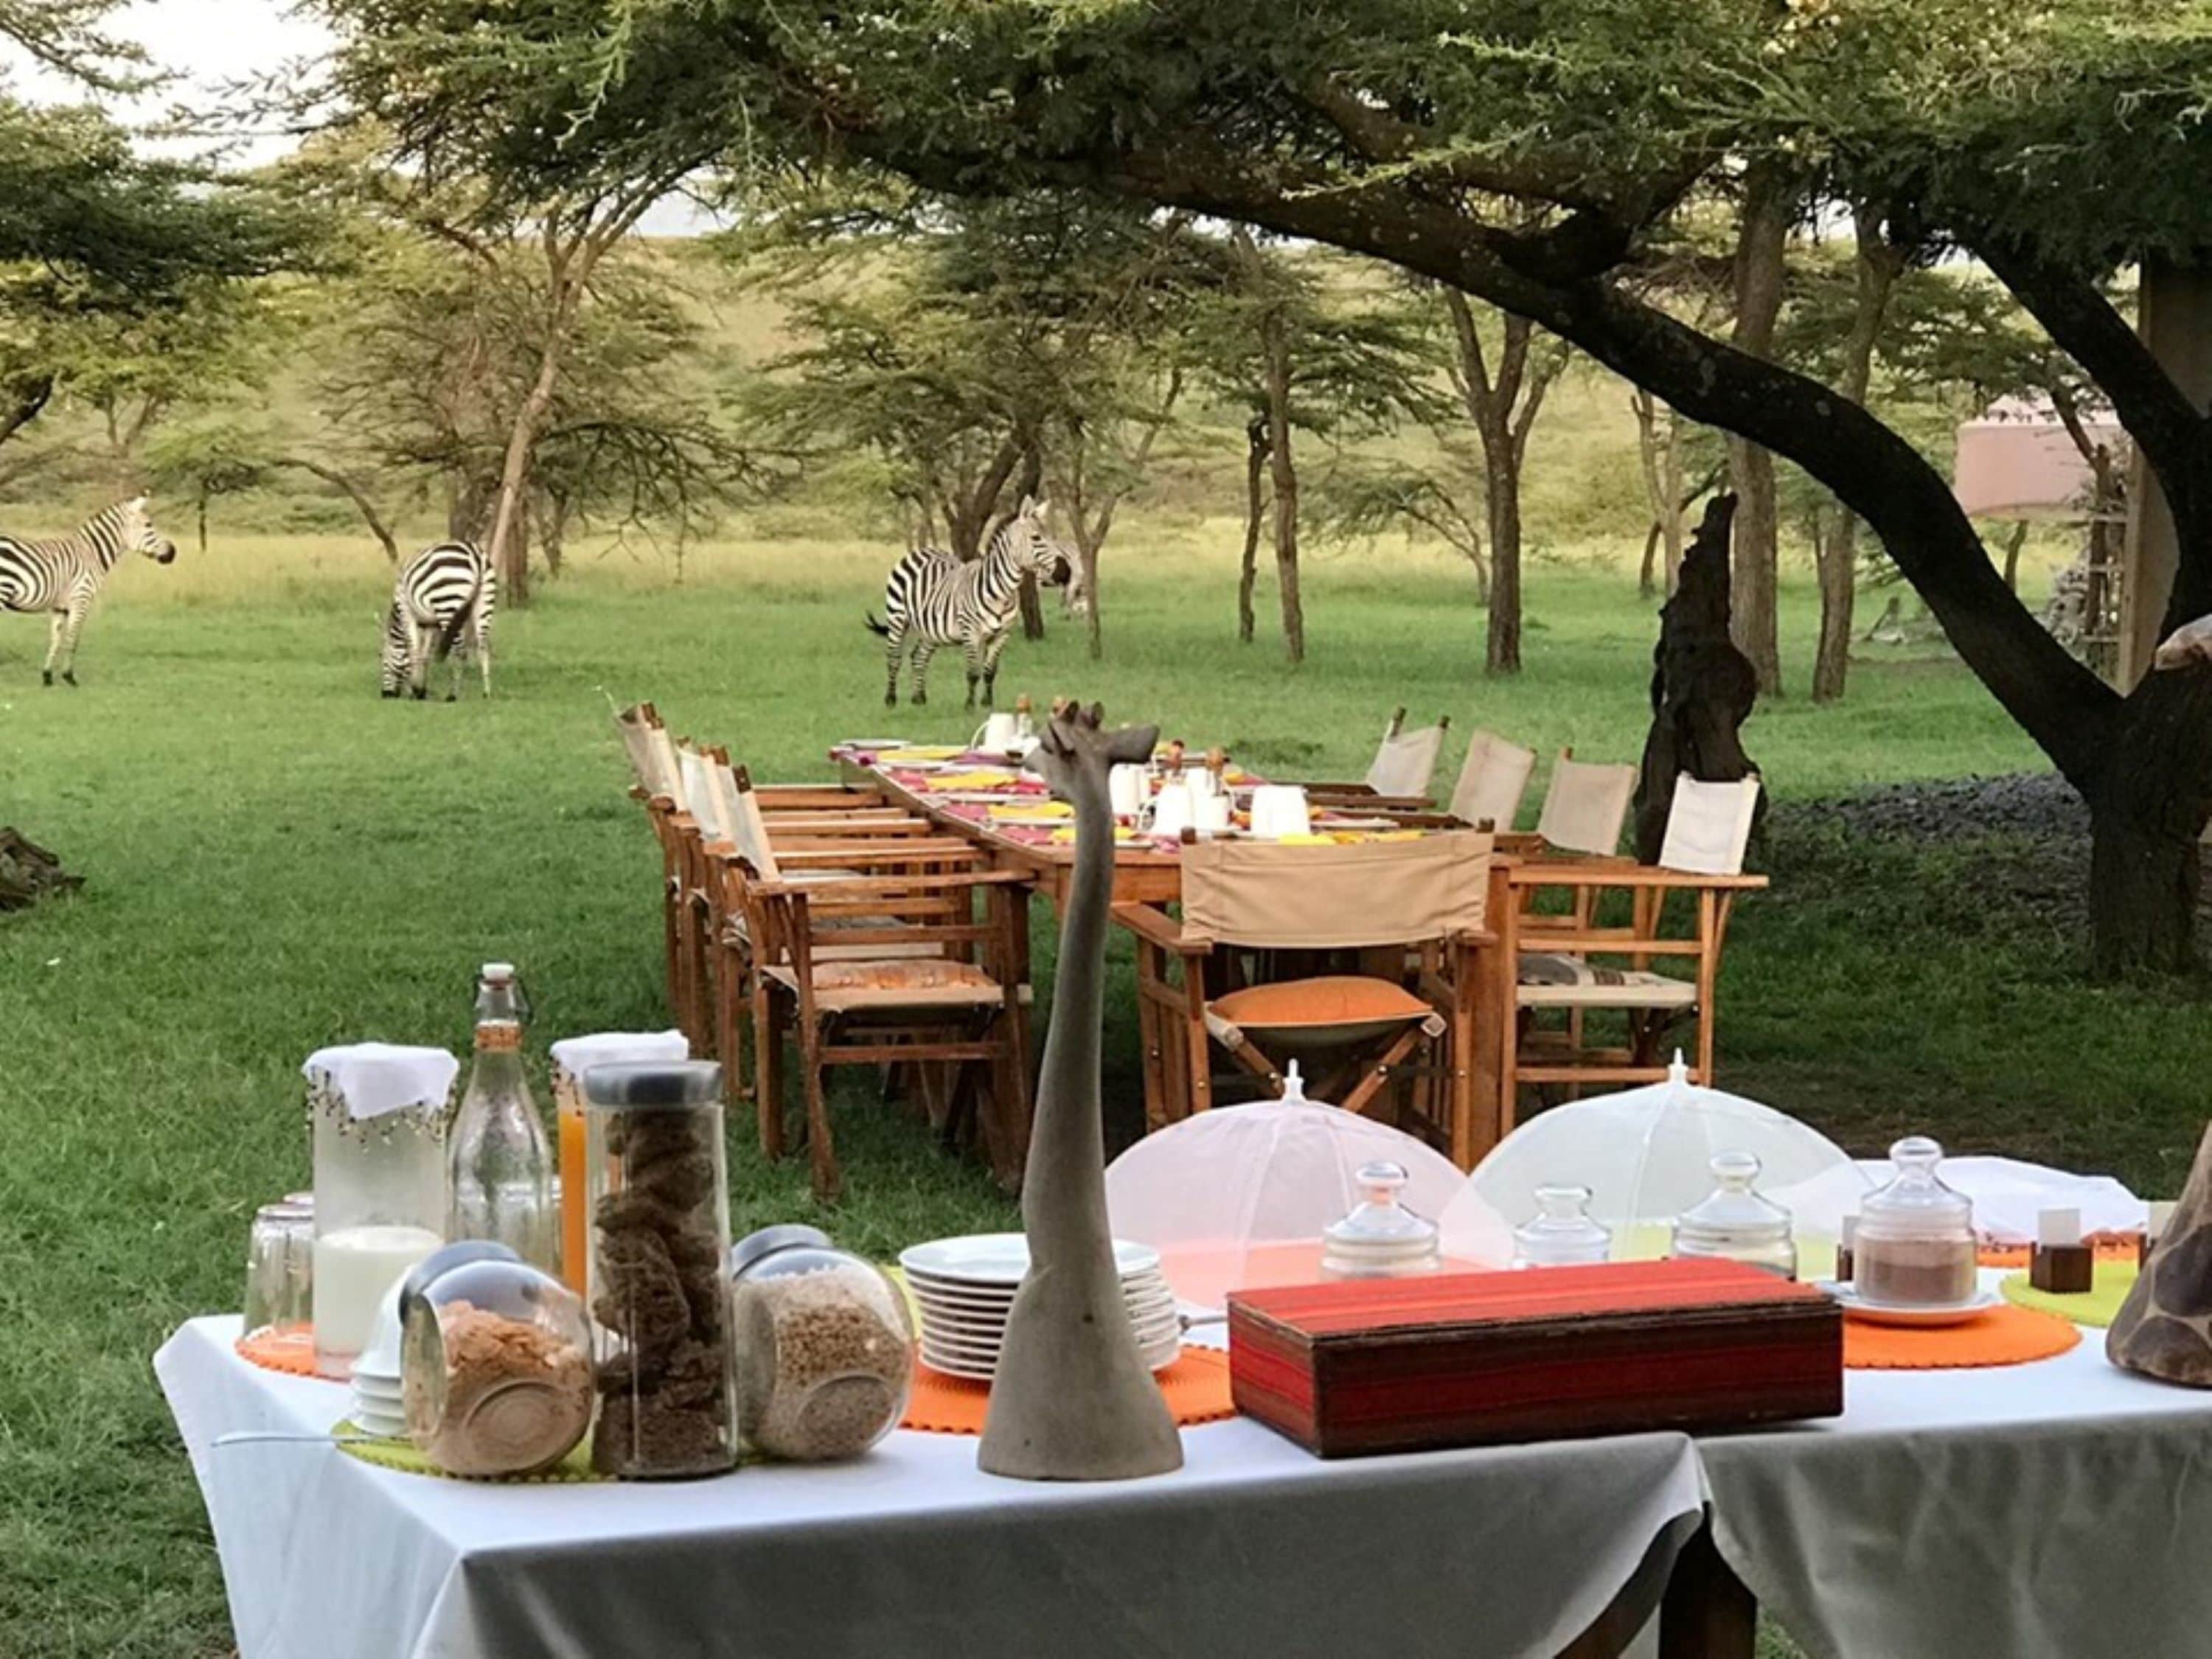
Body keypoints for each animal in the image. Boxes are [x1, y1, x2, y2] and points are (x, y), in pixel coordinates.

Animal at [0, 496, 177, 686]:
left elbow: (56, 640)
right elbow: (73, 639)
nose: (173, 553)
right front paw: (69, 677)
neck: (92, 554)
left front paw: (47, 677)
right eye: (148, 525)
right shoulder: (81, 599)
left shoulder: (60, 607)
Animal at [381, 541, 497, 700]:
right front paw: (422, 691)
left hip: (447, 605)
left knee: (460, 652)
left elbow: (414, 650)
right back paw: (486, 693)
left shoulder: (407, 613)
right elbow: (425, 656)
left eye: (384, 660)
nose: (385, 695)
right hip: (484, 603)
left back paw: (453, 695)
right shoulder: (431, 624)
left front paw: (415, 690)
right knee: (483, 648)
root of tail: (476, 556)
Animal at [863, 496, 1074, 707]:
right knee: (894, 658)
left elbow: (990, 672)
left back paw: (919, 699)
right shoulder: (970, 632)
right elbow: (973, 673)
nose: (1066, 572)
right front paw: (970, 706)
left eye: (1053, 537)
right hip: (897, 617)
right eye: (1036, 538)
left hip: (931, 629)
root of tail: (920, 551)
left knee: (919, 657)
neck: (1002, 594)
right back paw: (891, 699)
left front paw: (987, 703)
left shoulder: (1002, 635)